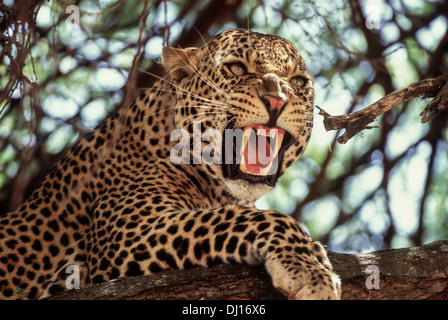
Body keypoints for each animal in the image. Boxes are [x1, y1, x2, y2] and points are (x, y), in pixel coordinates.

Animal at [0, 29, 342, 300]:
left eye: (297, 82)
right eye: (236, 68)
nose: (277, 99)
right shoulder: (130, 232)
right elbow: (254, 218)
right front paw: (310, 270)